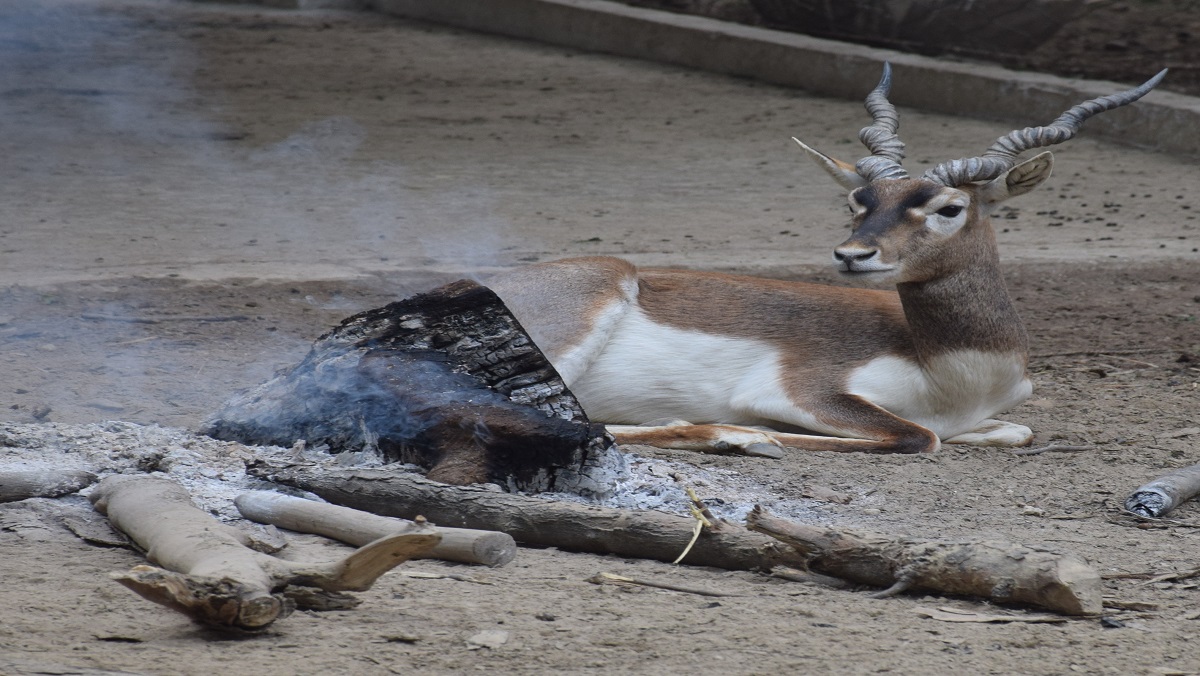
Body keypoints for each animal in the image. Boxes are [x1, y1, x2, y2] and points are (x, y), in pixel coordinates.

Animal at [484, 64, 1161, 453]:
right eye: (861, 200)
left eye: (949, 208)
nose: (852, 254)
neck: (952, 367)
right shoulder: (801, 393)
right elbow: (917, 437)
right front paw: (748, 432)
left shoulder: (996, 416)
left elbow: (1013, 431)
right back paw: (732, 436)